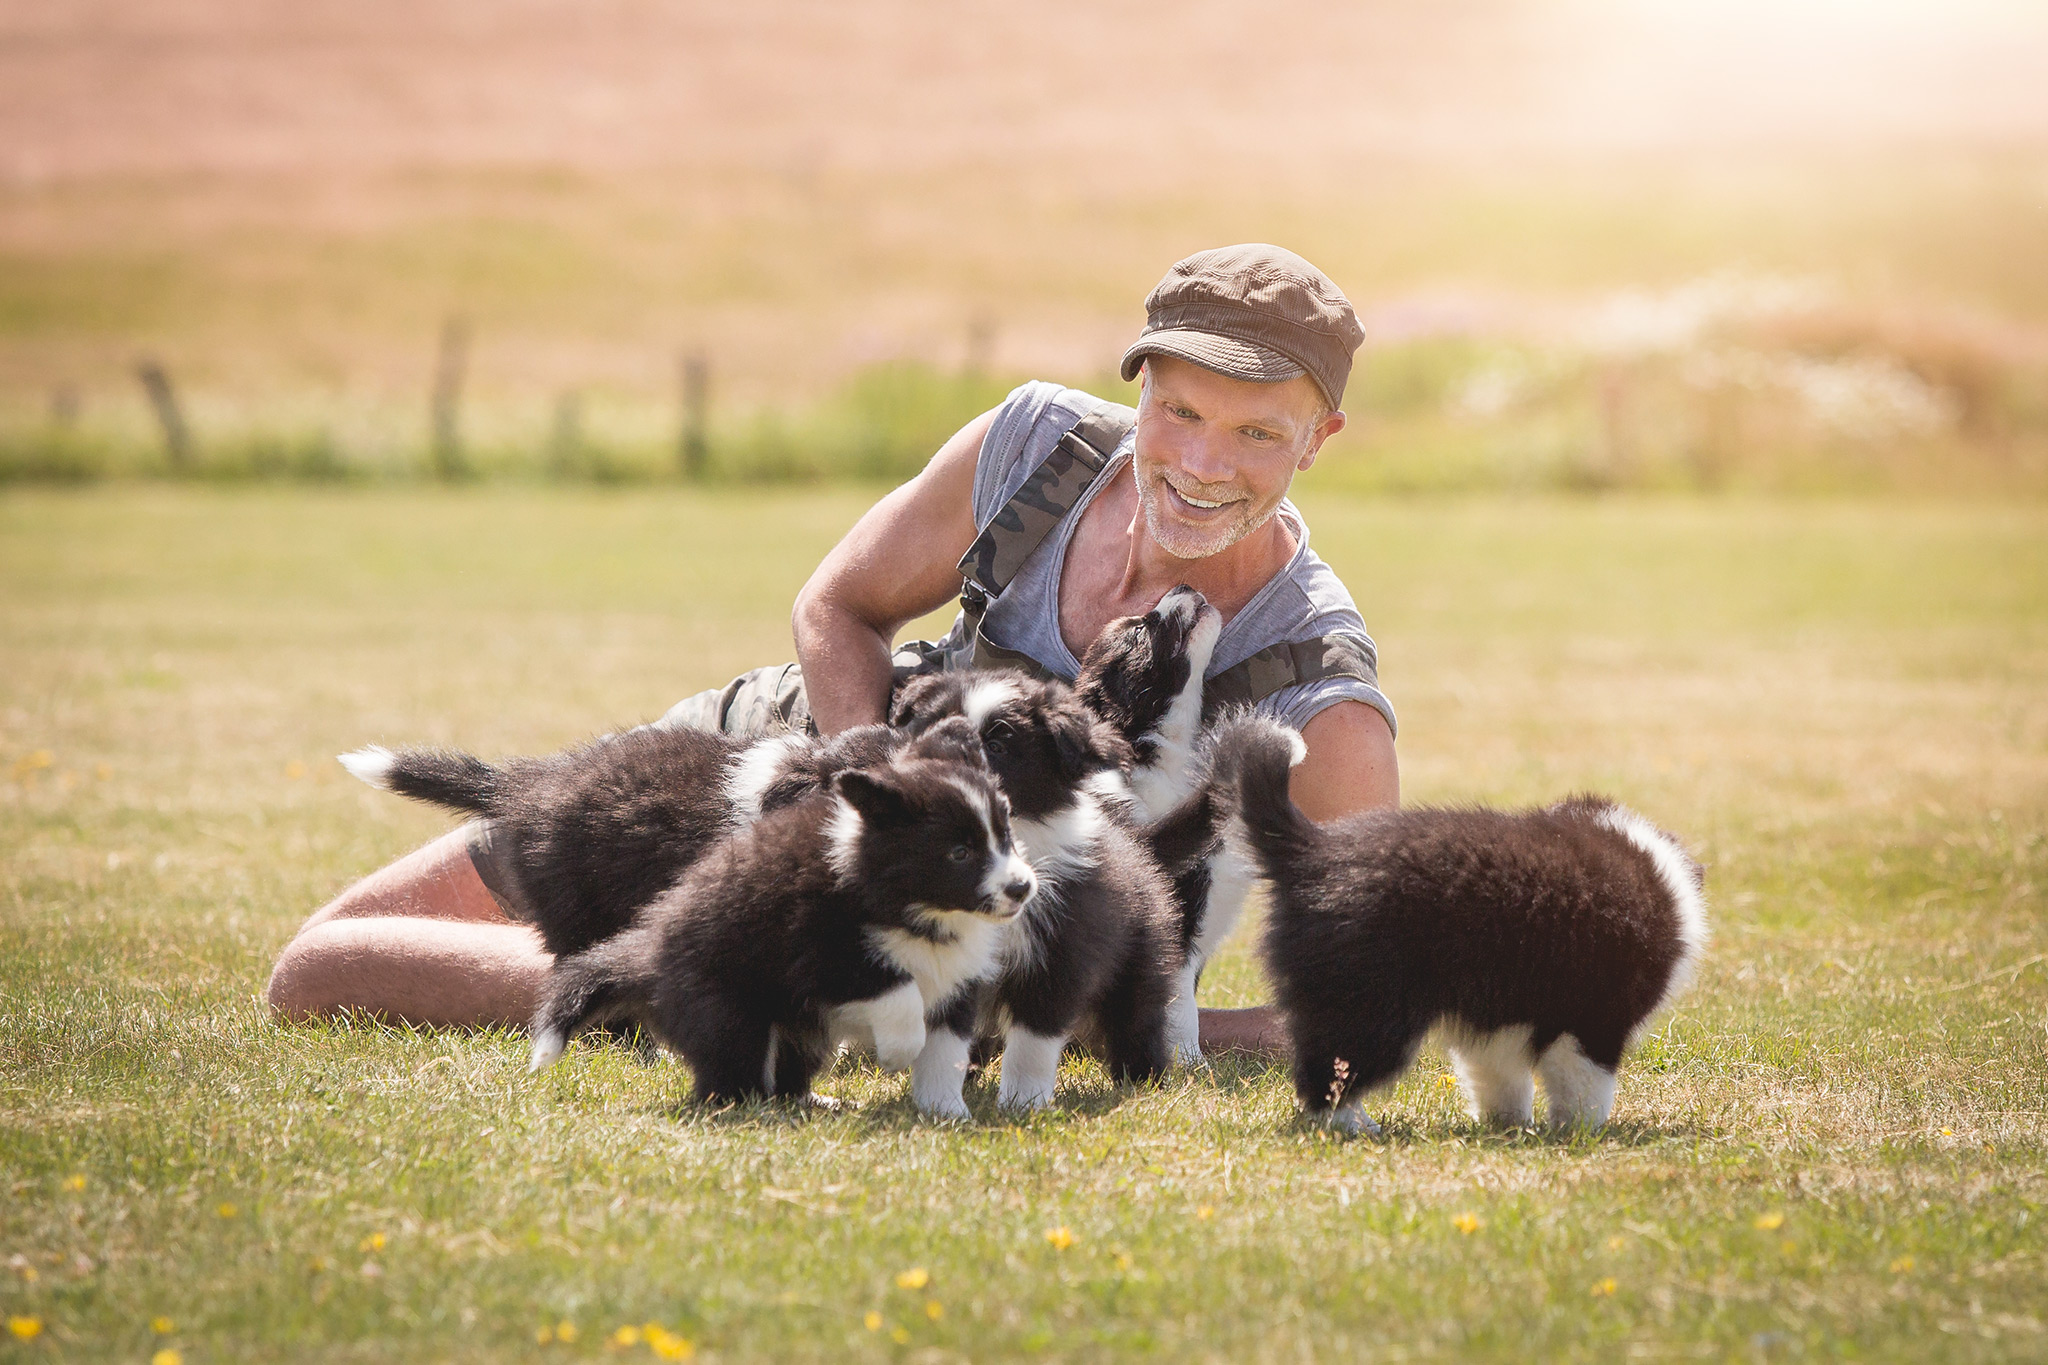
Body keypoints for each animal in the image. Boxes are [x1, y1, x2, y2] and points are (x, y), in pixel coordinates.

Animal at [528, 740, 1040, 1105]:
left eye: (1006, 835)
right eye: (959, 853)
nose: (1021, 888)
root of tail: (648, 955)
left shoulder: (956, 977)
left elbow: (946, 1049)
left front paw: (944, 1111)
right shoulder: (816, 946)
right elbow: (895, 993)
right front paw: (898, 1051)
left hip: (794, 1028)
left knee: (793, 1061)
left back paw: (807, 1101)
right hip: (724, 1008)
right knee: (729, 1066)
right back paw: (746, 1106)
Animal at [892, 667, 1187, 1113]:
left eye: (997, 745)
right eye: (933, 728)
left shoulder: (1060, 949)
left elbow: (1034, 1036)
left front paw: (1023, 1102)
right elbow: (943, 1036)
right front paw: (939, 1104)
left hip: (1139, 952)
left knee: (1138, 1015)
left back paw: (1143, 1078)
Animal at [1212, 720, 1712, 1137]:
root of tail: (1313, 851)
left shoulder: (1499, 1017)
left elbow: (1499, 1077)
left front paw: (1509, 1126)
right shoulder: (1595, 1017)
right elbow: (1586, 1085)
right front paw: (1581, 1132)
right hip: (1366, 1005)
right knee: (1330, 1073)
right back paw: (1352, 1126)